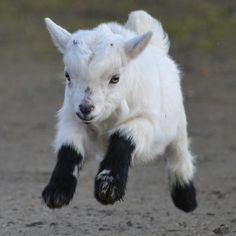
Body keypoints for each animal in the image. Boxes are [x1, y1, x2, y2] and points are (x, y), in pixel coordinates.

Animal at [42, 10, 197, 212]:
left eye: (115, 78)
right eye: (67, 75)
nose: (85, 108)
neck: (106, 118)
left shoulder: (146, 120)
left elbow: (123, 137)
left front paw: (109, 187)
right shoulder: (71, 117)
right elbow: (70, 147)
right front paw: (57, 191)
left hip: (176, 123)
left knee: (178, 153)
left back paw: (186, 197)